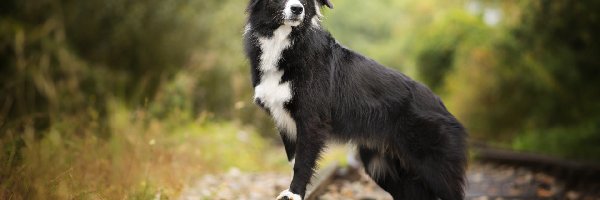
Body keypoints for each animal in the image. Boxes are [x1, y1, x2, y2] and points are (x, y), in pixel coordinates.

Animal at [244, 0, 468, 199]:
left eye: (304, 2)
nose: (298, 9)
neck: (284, 41)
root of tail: (442, 106)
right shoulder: (284, 121)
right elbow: (294, 160)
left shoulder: (311, 120)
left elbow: (302, 163)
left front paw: (294, 194)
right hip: (382, 167)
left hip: (433, 168)